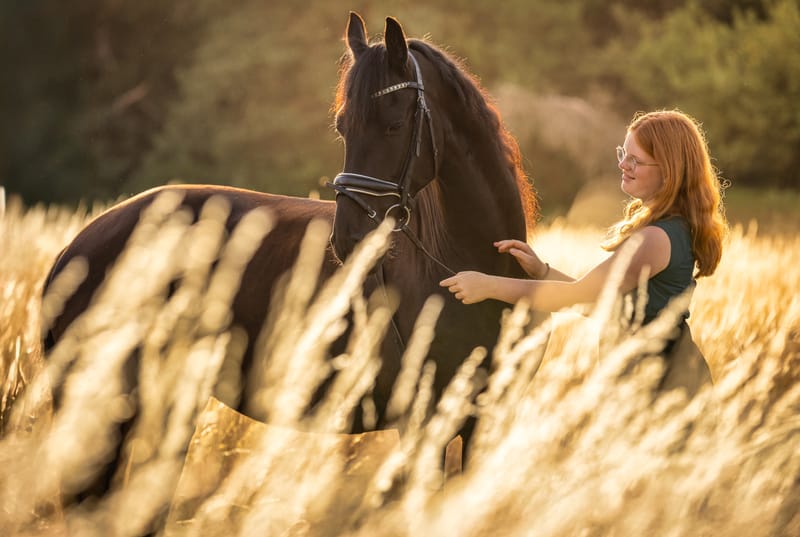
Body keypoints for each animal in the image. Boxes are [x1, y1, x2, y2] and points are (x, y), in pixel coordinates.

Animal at [42, 11, 538, 501]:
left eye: (394, 126)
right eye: (342, 127)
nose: (351, 236)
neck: (467, 266)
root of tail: (75, 247)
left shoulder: (477, 423)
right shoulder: (421, 427)